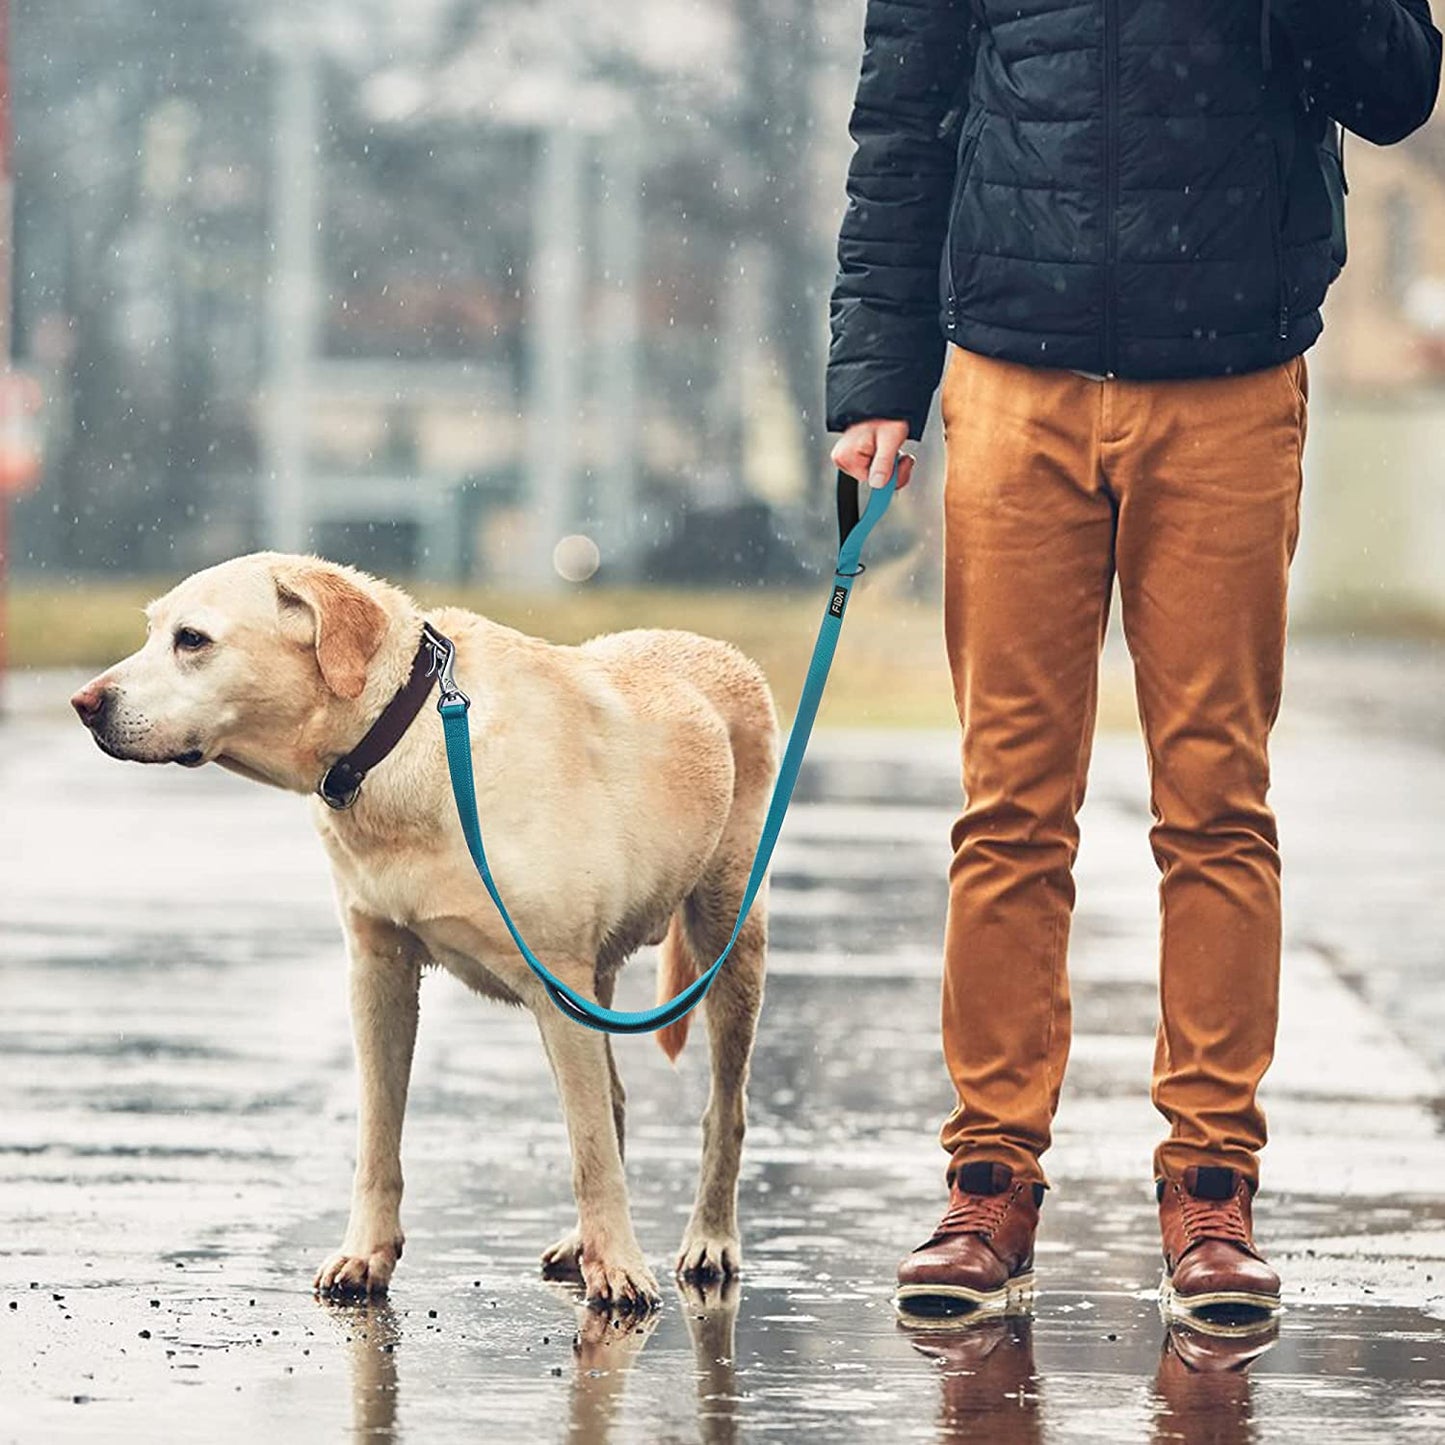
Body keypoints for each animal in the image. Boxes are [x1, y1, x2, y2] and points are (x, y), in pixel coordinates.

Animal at [73, 551, 780, 1312]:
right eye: (153, 631)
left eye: (192, 639)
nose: (84, 704)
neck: (403, 737)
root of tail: (719, 649)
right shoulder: (379, 970)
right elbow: (379, 1135)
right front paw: (366, 1253)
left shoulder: (557, 979)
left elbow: (588, 1148)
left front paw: (619, 1267)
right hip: (601, 976)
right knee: (614, 1098)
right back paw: (580, 1241)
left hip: (727, 939)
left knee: (722, 1110)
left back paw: (709, 1241)